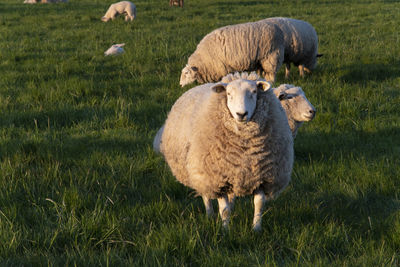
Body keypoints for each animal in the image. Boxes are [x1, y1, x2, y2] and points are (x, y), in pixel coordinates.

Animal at [159, 76, 294, 231]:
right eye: (229, 94)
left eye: (254, 92)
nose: (241, 114)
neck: (245, 148)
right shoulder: (218, 179)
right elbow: (224, 209)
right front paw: (225, 230)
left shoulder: (262, 177)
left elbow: (259, 205)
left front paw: (256, 229)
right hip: (201, 171)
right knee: (206, 195)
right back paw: (210, 215)